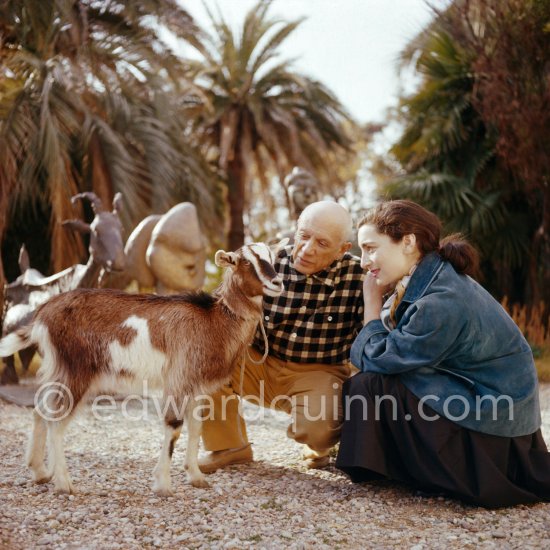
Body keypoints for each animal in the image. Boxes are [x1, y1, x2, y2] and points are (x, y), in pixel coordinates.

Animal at [0, 242, 284, 496]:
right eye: (244, 262)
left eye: (272, 258)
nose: (278, 283)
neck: (214, 319)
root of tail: (42, 315)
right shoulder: (178, 379)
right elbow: (174, 427)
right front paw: (163, 485)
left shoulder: (197, 387)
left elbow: (196, 429)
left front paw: (196, 477)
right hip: (75, 372)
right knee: (55, 421)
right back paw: (64, 483)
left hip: (58, 371)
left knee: (40, 410)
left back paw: (39, 471)